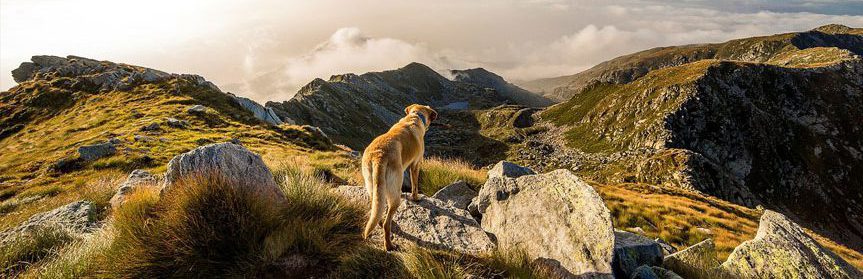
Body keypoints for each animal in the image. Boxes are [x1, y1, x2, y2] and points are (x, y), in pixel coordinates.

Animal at [362, 104, 438, 253]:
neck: (414, 116)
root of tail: (379, 156)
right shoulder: (415, 164)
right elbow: (415, 184)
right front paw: (416, 198)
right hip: (395, 192)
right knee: (387, 223)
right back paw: (389, 245)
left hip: (373, 186)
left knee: (377, 209)